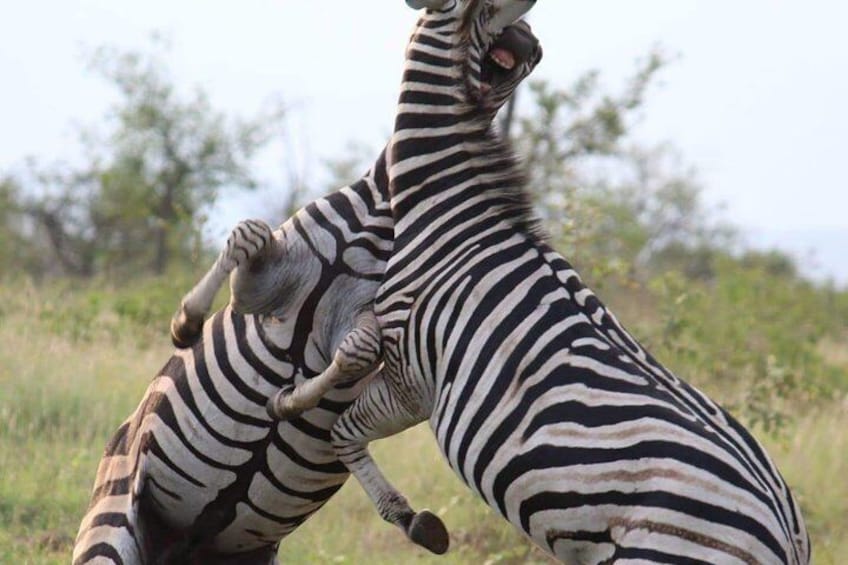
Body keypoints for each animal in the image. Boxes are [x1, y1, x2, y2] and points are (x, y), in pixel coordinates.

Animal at [280, 2, 816, 560]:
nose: (532, 46)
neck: (451, 211)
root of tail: (786, 532)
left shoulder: (411, 377)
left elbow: (343, 424)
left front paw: (410, 518)